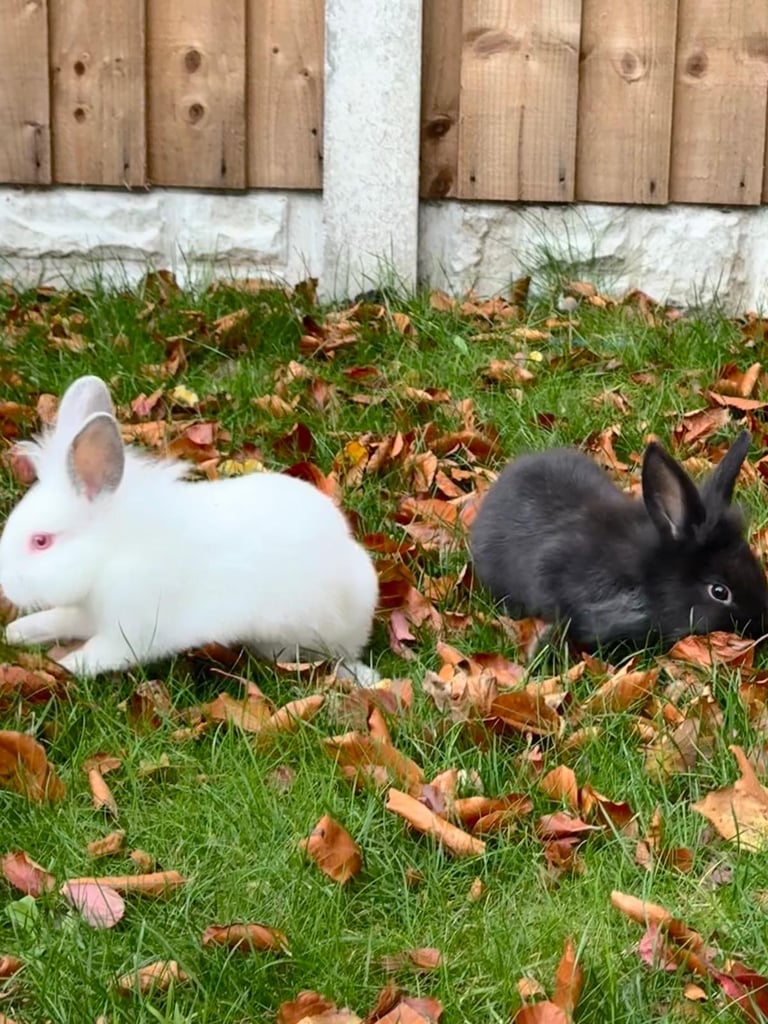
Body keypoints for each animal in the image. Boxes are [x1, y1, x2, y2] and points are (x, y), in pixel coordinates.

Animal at [0, 375, 380, 684]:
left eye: (41, 541)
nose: (5, 584)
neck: (108, 555)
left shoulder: (129, 631)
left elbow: (98, 654)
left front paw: (62, 667)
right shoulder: (88, 613)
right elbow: (60, 620)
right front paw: (17, 632)